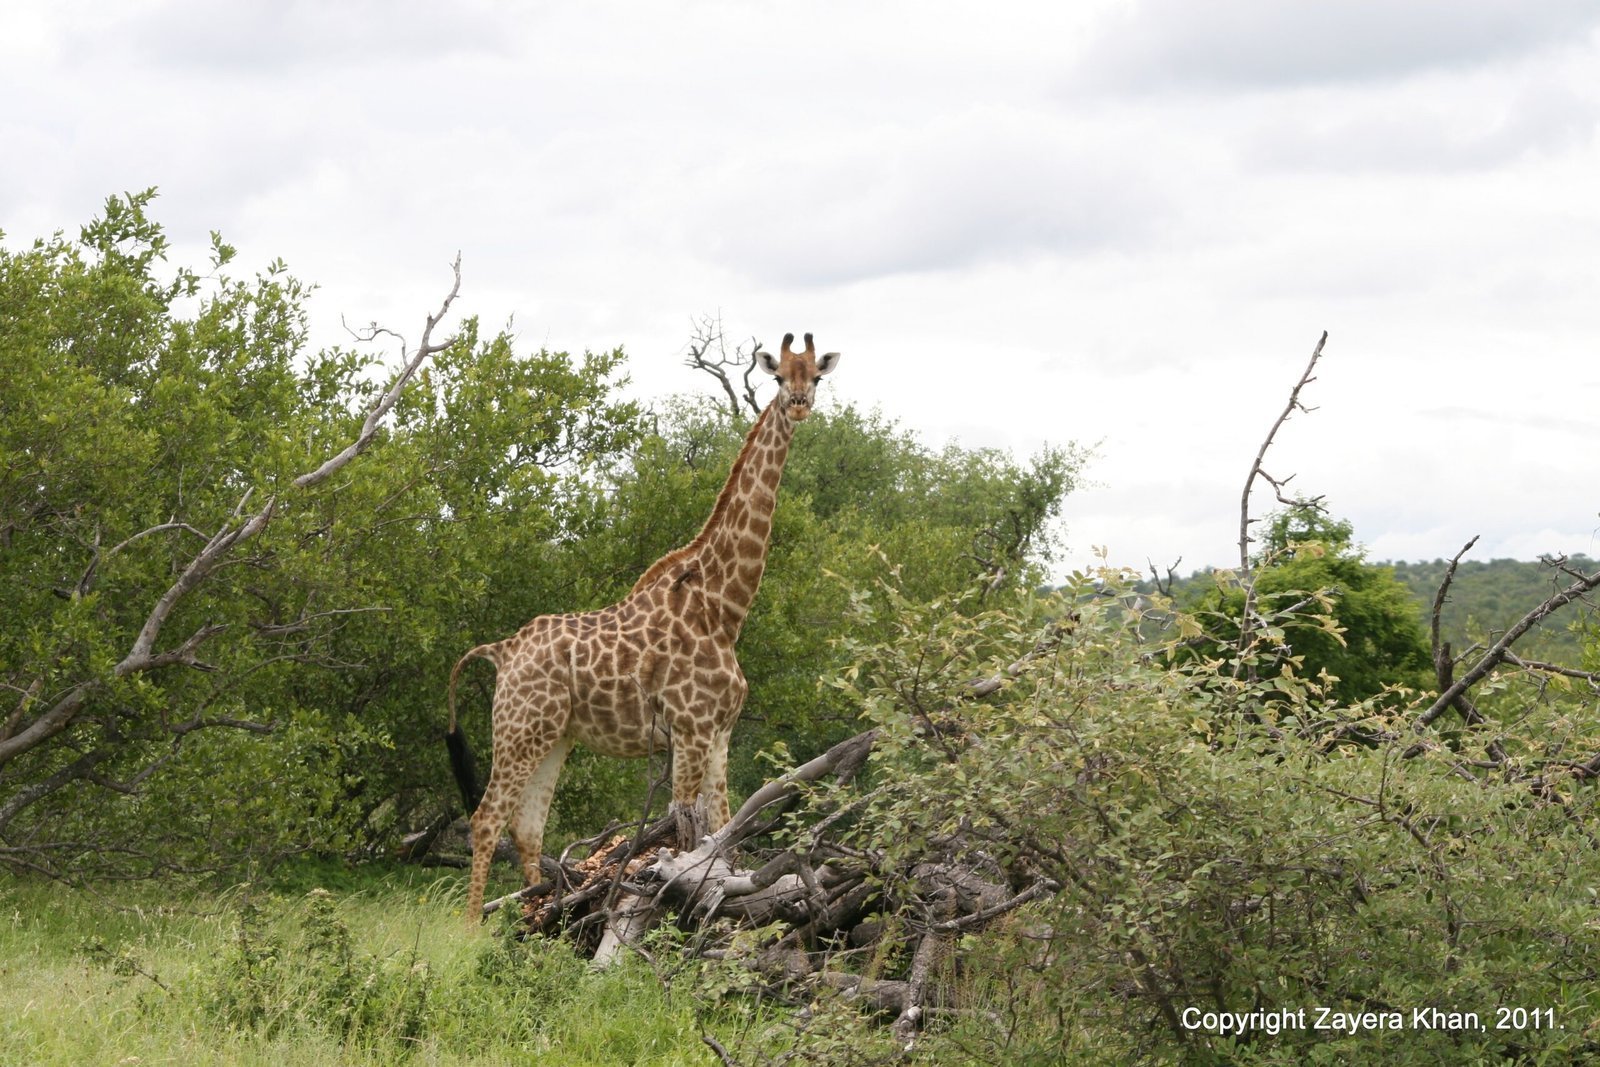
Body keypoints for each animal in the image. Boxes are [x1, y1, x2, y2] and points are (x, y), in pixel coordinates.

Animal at [447, 332, 841, 924]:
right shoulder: (690, 729)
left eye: (816, 376)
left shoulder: (720, 732)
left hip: (554, 736)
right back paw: (474, 932)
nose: (797, 405)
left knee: (529, 828)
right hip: (520, 729)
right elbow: (686, 839)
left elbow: (725, 830)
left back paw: (535, 920)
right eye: (776, 377)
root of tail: (503, 650)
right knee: (487, 818)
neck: (724, 608)